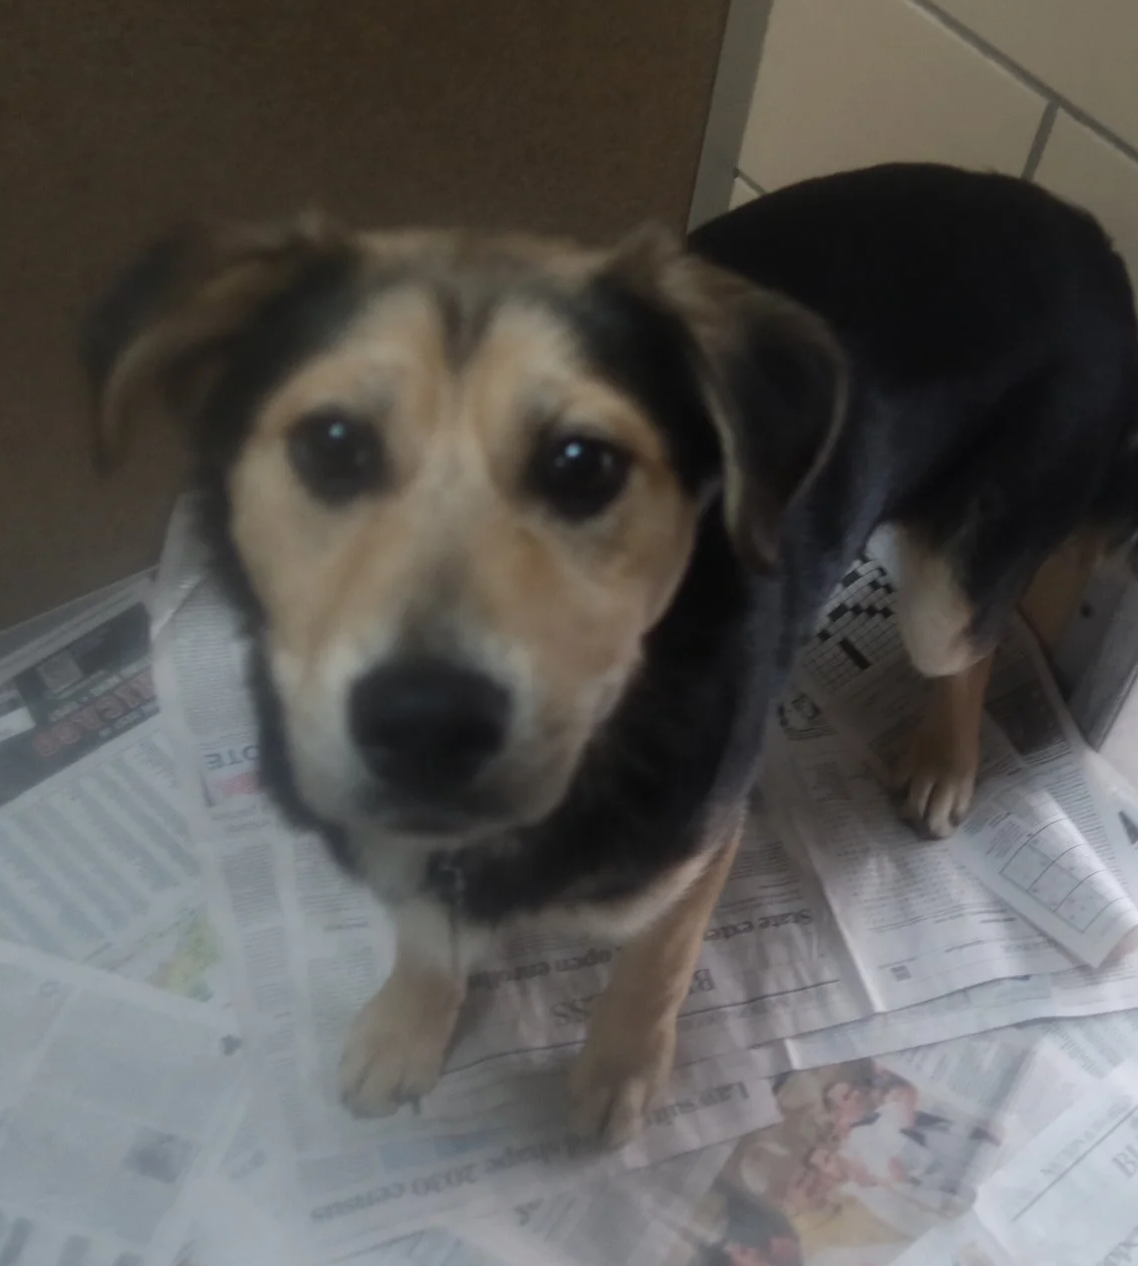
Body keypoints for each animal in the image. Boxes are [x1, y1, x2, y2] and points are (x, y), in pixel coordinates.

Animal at [85, 163, 1138, 1146]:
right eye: (332, 443)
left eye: (583, 465)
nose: (424, 725)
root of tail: (1079, 227)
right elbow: (425, 932)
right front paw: (407, 1024)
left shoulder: (700, 841)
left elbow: (653, 965)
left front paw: (618, 1071)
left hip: (946, 588)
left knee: (979, 641)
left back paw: (942, 760)